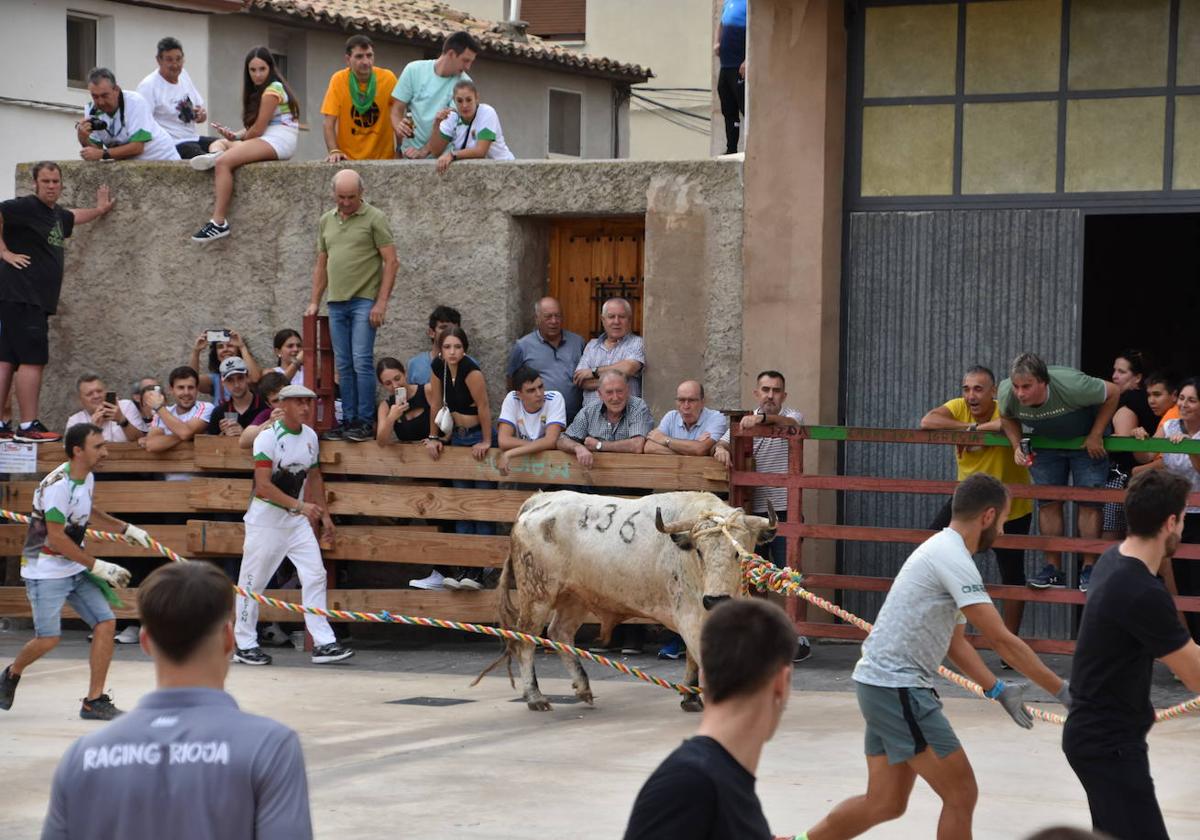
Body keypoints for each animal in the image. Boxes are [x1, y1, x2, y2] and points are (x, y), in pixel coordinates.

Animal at [475, 489, 777, 710]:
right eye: (699, 551)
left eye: (738, 552)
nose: (715, 600)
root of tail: (539, 500)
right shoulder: (688, 613)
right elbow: (700, 654)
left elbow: (693, 656)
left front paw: (690, 698)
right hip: (537, 594)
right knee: (525, 641)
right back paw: (535, 697)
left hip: (575, 596)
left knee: (560, 632)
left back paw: (583, 687)